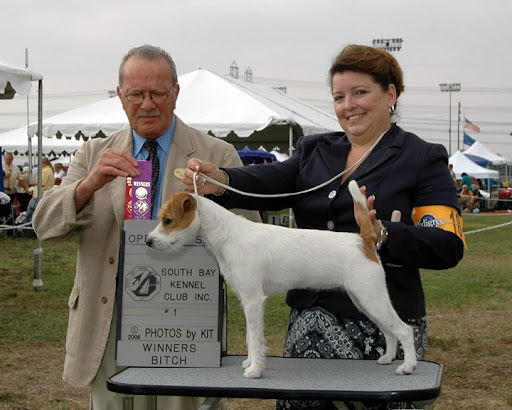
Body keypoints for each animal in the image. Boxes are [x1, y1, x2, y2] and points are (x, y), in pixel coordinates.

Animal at [146, 181, 418, 380]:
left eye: (168, 220)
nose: (148, 240)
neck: (228, 235)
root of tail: (363, 241)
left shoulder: (254, 301)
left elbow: (255, 339)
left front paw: (255, 370)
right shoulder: (248, 301)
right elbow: (250, 338)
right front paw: (249, 362)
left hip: (372, 298)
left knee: (404, 330)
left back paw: (408, 366)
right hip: (364, 301)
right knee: (389, 331)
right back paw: (387, 358)